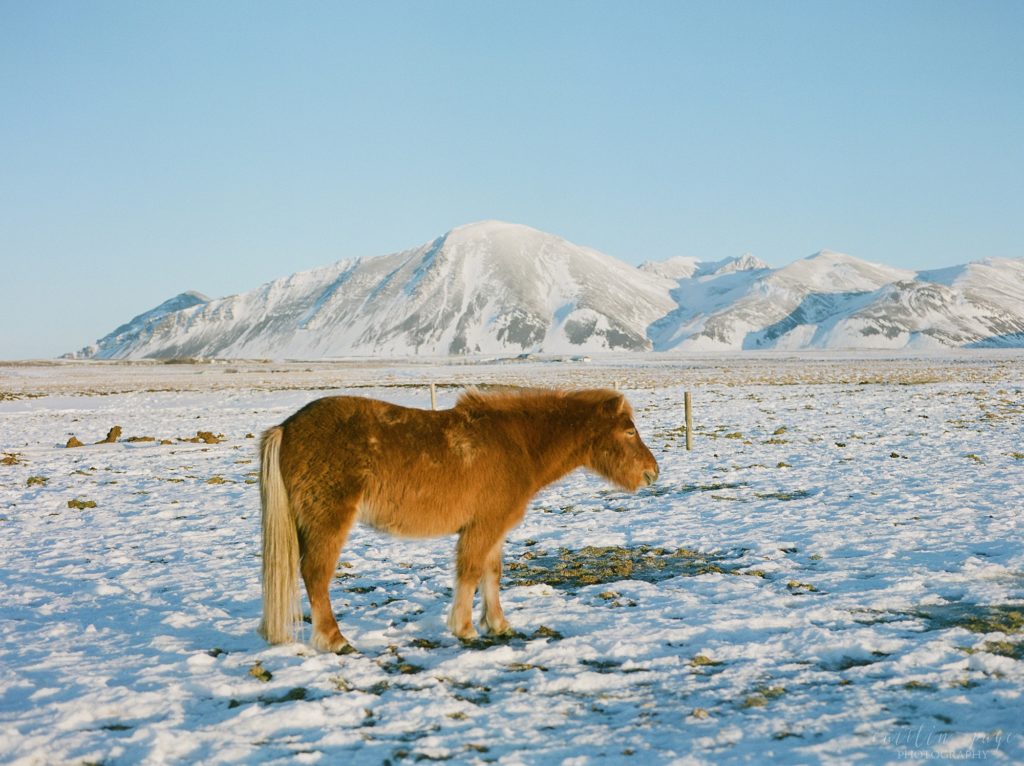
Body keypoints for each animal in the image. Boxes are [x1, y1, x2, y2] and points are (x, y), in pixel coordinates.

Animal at [260, 385, 659, 651]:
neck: (518, 445)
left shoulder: (494, 526)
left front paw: (498, 625)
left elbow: (491, 573)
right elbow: (469, 571)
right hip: (328, 523)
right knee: (316, 575)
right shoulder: (483, 527)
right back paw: (336, 640)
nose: (652, 472)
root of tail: (287, 428)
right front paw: (464, 628)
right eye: (628, 430)